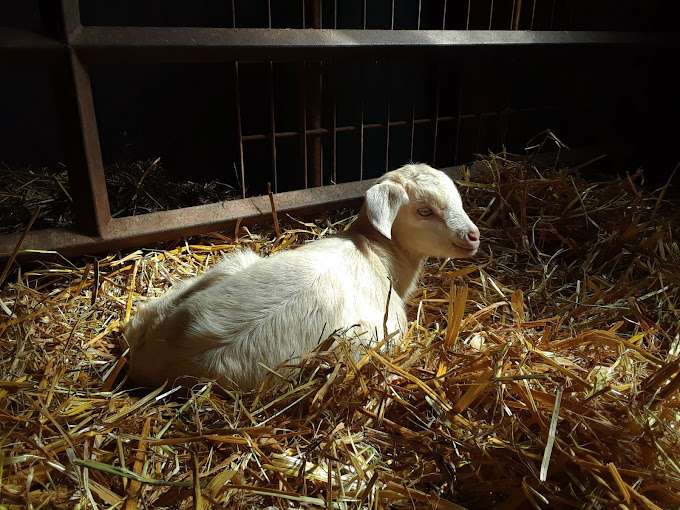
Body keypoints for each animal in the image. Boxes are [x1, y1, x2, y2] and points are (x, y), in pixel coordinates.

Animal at [124, 163, 480, 390]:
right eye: (424, 211)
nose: (473, 236)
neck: (380, 254)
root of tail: (157, 359)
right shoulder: (389, 329)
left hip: (228, 266)